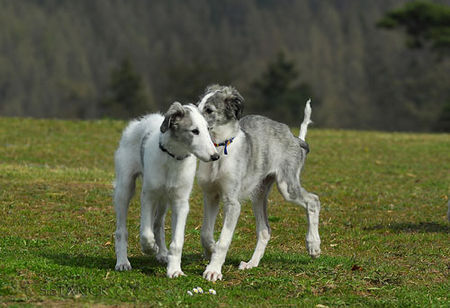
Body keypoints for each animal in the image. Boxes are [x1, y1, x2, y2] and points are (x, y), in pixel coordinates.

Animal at [114, 102, 220, 278]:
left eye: (208, 129)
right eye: (194, 131)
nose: (215, 156)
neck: (173, 158)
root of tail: (141, 120)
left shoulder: (180, 202)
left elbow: (176, 241)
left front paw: (175, 269)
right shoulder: (148, 196)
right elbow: (145, 233)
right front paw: (149, 248)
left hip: (164, 199)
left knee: (158, 224)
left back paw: (162, 254)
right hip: (124, 188)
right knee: (121, 230)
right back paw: (123, 261)